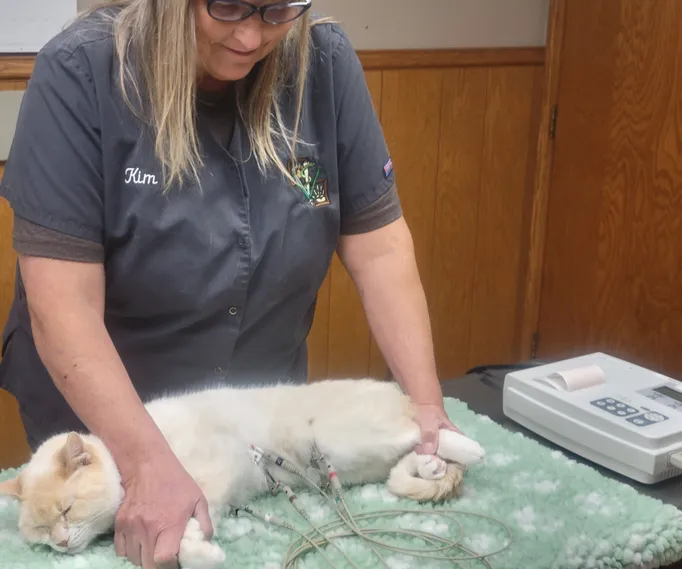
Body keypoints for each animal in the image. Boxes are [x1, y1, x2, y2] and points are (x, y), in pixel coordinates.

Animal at [0, 378, 484, 568]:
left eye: (66, 511)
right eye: (41, 531)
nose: (61, 544)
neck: (127, 460)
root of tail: (397, 393)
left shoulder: (197, 481)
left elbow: (185, 530)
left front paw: (201, 554)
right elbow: (189, 531)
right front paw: (199, 549)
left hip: (346, 438)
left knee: (422, 430)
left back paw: (467, 446)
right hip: (357, 461)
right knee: (407, 458)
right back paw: (431, 463)